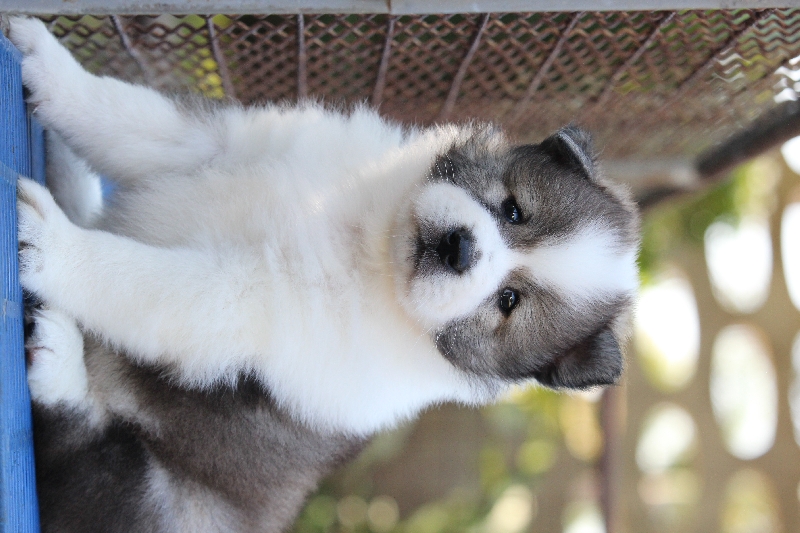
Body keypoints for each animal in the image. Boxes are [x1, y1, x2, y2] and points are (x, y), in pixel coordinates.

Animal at [10, 17, 640, 533]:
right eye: (513, 211)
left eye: (509, 301)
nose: (460, 248)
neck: (371, 239)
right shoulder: (232, 144)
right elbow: (131, 117)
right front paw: (45, 61)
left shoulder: (244, 303)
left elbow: (145, 279)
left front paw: (53, 247)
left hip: (163, 502)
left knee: (80, 458)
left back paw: (58, 355)